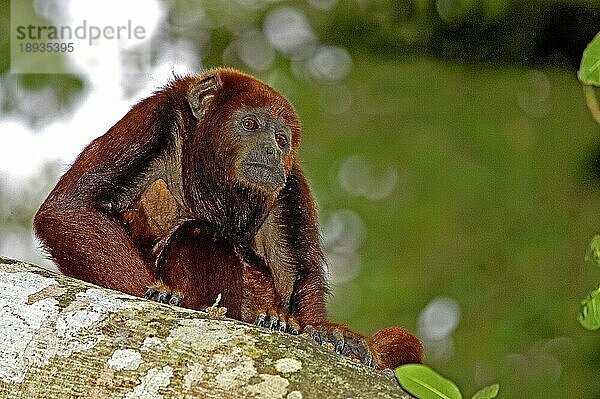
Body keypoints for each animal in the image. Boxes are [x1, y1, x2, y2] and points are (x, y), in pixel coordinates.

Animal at [34, 68, 422, 368]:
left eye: (281, 139)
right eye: (250, 124)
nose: (272, 150)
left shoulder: (289, 180)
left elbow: (297, 277)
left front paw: (325, 330)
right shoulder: (155, 116)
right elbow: (68, 210)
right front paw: (158, 294)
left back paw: (272, 319)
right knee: (200, 233)